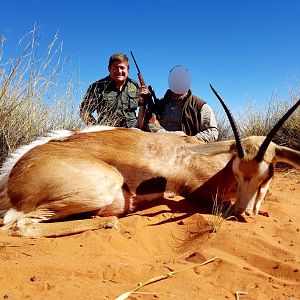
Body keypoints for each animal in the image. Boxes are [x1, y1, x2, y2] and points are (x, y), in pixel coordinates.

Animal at [0, 86, 298, 237]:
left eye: (268, 173)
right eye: (237, 172)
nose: (243, 212)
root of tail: (13, 173)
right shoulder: (197, 193)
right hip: (102, 188)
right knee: (19, 224)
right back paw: (111, 222)